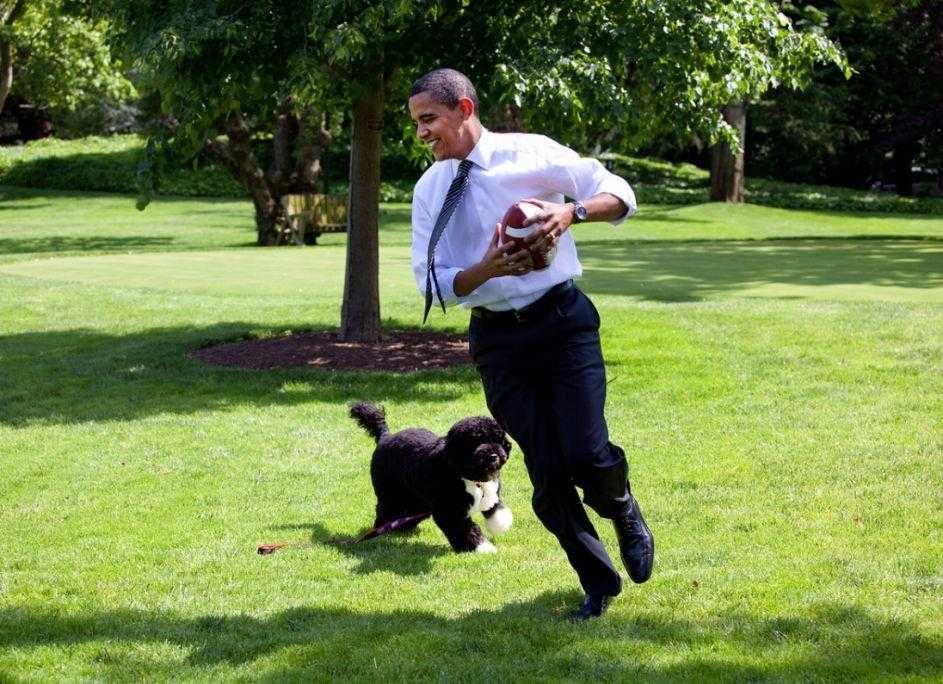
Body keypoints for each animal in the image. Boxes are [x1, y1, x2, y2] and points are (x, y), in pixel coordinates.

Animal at [348, 404, 512, 552]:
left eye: (497, 439)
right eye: (475, 441)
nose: (493, 456)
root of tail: (385, 437)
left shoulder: (491, 492)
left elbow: (495, 509)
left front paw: (501, 524)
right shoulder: (449, 510)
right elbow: (466, 530)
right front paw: (482, 547)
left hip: (416, 500)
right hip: (390, 493)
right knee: (386, 510)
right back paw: (382, 530)